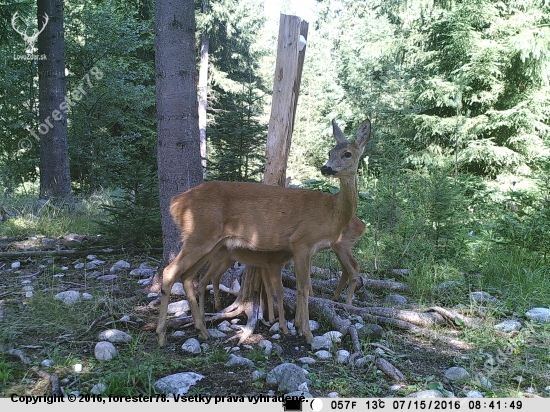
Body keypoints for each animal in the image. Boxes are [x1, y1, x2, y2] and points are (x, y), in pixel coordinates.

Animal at [155, 120, 370, 348]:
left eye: (347, 154)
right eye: (330, 152)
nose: (326, 168)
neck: (332, 212)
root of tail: (176, 202)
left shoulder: (308, 249)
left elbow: (304, 286)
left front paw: (298, 326)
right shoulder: (301, 241)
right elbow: (303, 287)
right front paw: (307, 334)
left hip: (211, 244)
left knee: (188, 276)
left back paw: (202, 330)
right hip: (200, 235)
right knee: (170, 272)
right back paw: (162, 335)